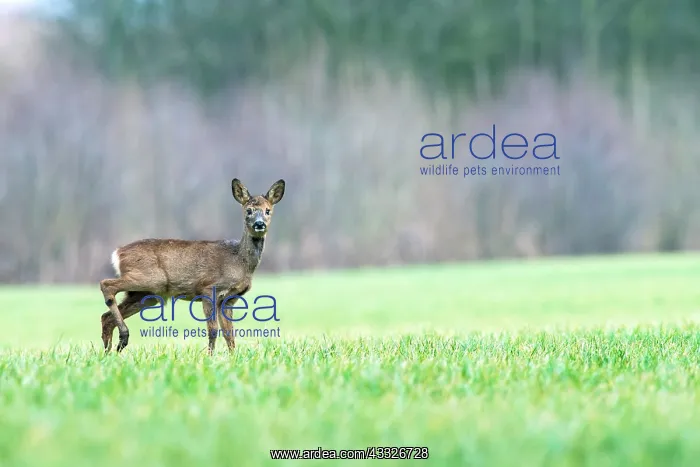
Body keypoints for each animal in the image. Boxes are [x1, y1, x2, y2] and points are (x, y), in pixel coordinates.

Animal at [99, 178, 285, 355]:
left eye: (268, 210)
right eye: (248, 211)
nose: (259, 224)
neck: (239, 261)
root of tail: (118, 253)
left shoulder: (229, 299)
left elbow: (229, 334)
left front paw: (232, 359)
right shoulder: (208, 288)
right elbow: (213, 330)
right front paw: (209, 357)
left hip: (146, 294)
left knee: (105, 317)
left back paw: (109, 352)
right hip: (150, 279)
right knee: (106, 284)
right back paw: (123, 337)